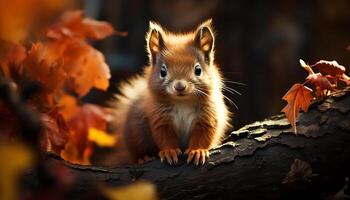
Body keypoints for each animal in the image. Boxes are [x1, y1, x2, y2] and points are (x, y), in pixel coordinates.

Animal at [110, 19, 232, 166]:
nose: (180, 86)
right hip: (136, 133)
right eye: (163, 71)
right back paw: (143, 157)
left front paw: (197, 151)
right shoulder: (160, 117)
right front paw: (170, 151)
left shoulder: (207, 116)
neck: (182, 102)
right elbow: (164, 136)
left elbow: (203, 135)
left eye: (198, 70)